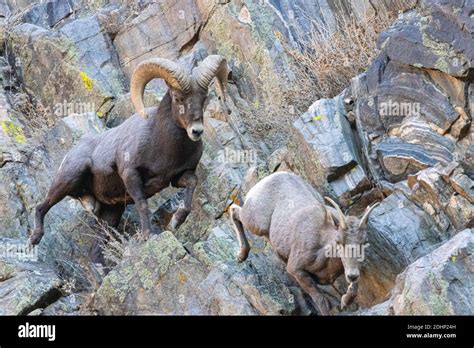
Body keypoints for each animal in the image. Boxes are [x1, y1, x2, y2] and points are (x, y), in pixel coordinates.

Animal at [30, 55, 229, 266]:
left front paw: (176, 222)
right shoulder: (131, 175)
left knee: (97, 247)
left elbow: (192, 184)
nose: (196, 131)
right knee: (42, 206)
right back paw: (34, 239)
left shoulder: (177, 177)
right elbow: (142, 204)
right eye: (178, 98)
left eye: (204, 98)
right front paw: (148, 236)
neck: (162, 144)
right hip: (68, 179)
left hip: (111, 213)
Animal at [228, 172, 380, 316]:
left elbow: (353, 289)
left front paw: (345, 301)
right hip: (255, 223)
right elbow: (321, 300)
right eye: (338, 241)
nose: (351, 276)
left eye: (364, 242)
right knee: (234, 210)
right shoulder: (297, 271)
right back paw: (240, 256)